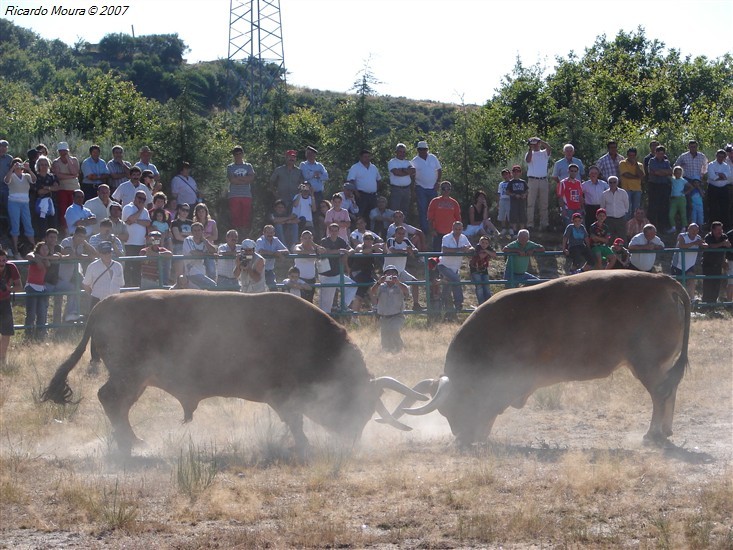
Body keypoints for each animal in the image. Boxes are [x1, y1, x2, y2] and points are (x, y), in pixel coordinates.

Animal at [41, 294, 428, 458]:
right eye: (358, 405)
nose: (352, 440)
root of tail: (105, 303)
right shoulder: (284, 395)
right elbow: (296, 421)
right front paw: (304, 446)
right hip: (131, 375)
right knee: (111, 400)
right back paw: (129, 443)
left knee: (116, 405)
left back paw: (130, 441)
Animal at [398, 272, 688, 448]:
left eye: (451, 408)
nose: (461, 439)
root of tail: (662, 280)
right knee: (670, 389)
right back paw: (666, 430)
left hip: (647, 364)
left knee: (660, 394)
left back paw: (653, 434)